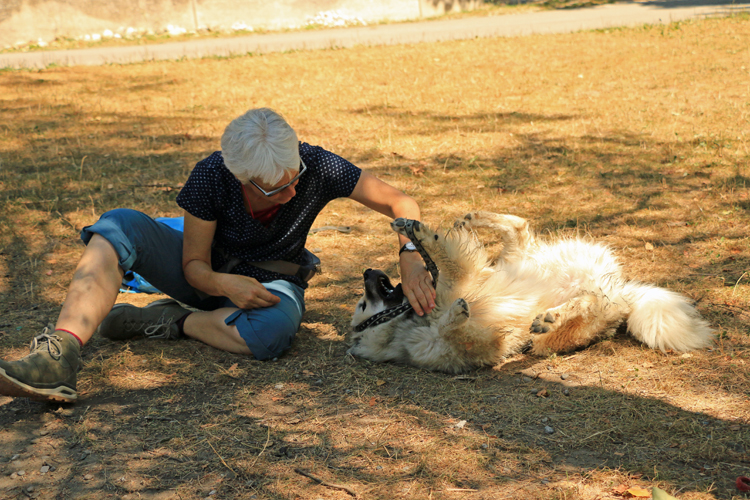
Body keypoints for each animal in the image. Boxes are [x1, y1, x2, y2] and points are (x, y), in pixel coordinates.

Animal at [352, 213, 716, 374]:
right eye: (362, 303)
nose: (368, 272)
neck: (410, 322)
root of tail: (619, 290)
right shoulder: (479, 342)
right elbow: (452, 327)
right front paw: (455, 315)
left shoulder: (459, 278)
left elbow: (441, 258)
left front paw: (420, 233)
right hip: (566, 316)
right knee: (586, 299)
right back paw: (551, 315)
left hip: (529, 262)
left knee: (519, 225)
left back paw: (472, 218)